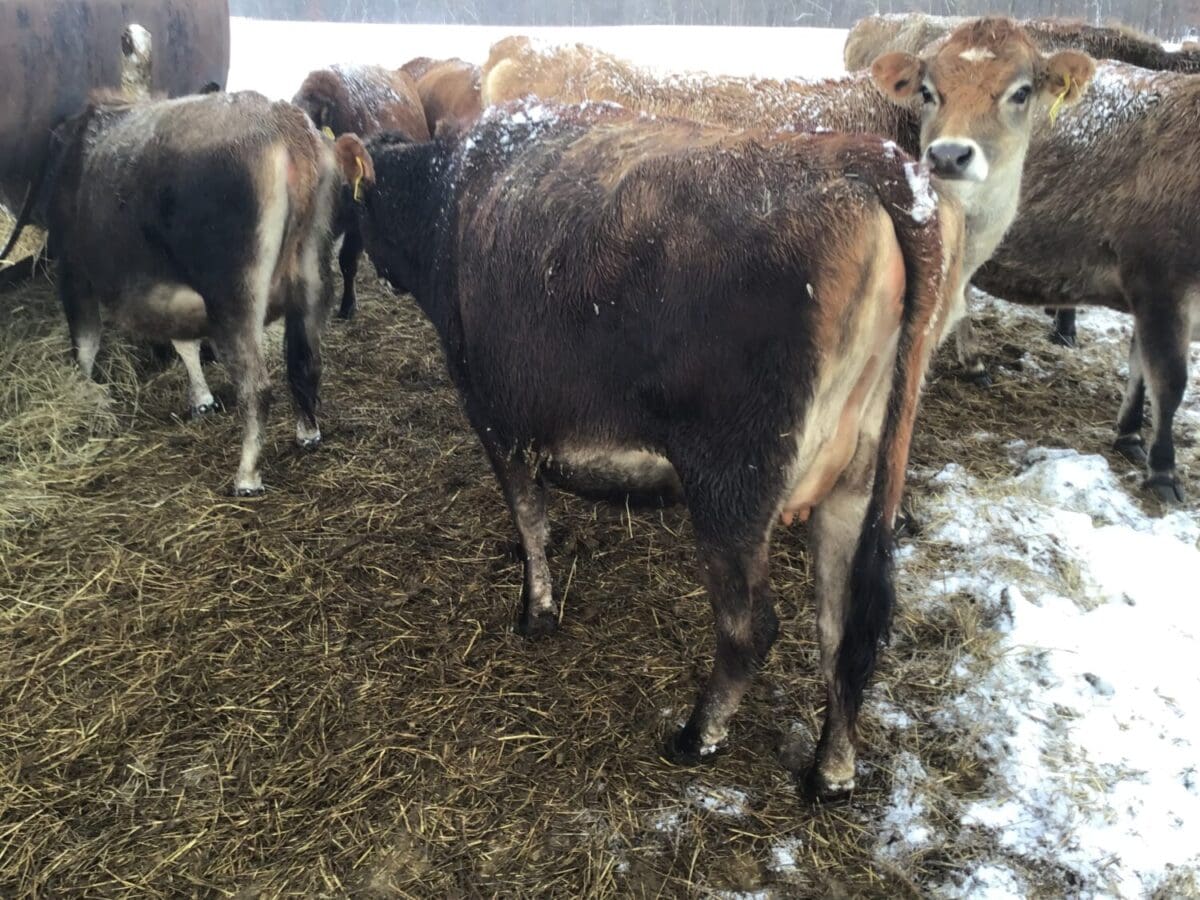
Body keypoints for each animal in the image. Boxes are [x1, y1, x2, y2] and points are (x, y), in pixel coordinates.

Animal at [36, 90, 342, 496]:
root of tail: (282, 122)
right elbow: (185, 343)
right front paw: (201, 400)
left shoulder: (73, 270)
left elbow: (85, 345)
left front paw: (85, 395)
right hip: (313, 270)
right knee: (307, 360)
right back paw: (308, 433)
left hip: (234, 294)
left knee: (256, 387)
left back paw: (246, 477)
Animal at [331, 99, 964, 799]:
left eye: (350, 206)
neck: (448, 197)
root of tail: (866, 158)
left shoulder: (495, 414)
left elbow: (529, 521)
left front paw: (537, 610)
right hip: (856, 476)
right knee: (845, 627)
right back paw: (833, 770)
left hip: (732, 482)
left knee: (750, 627)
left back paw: (698, 735)